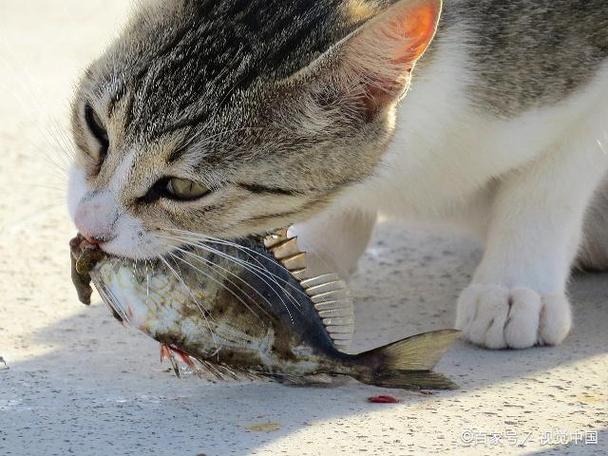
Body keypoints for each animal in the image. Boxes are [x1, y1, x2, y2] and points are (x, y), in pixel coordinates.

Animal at [66, 0, 608, 350]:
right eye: (95, 126)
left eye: (185, 188)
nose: (89, 226)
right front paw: (311, 261)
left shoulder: (587, 88)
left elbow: (548, 189)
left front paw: (515, 287)